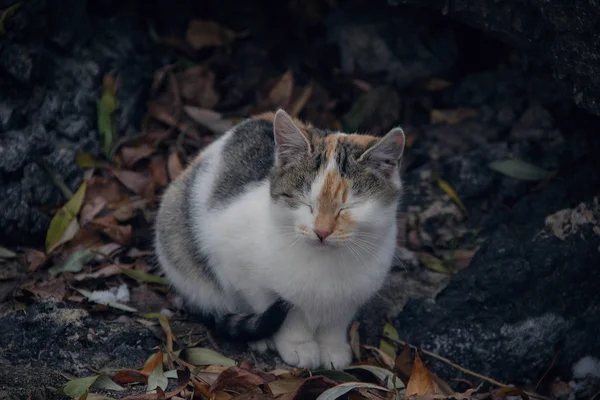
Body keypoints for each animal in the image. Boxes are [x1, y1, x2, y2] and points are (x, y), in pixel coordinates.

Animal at [155, 108, 408, 368]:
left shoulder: (352, 295)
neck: (324, 263)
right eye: (306, 203)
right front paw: (298, 345)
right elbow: (284, 312)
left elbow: (336, 322)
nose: (322, 231)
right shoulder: (238, 269)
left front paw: (332, 348)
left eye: (348, 207)